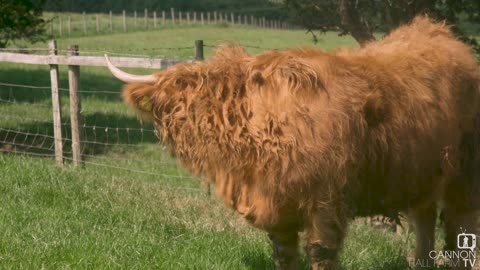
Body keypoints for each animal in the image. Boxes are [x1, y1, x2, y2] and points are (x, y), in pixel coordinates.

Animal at [106, 17, 480, 270]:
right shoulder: (277, 206)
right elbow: (283, 255)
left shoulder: (326, 201)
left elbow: (320, 252)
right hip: (423, 172)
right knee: (425, 217)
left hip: (464, 172)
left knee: (461, 222)